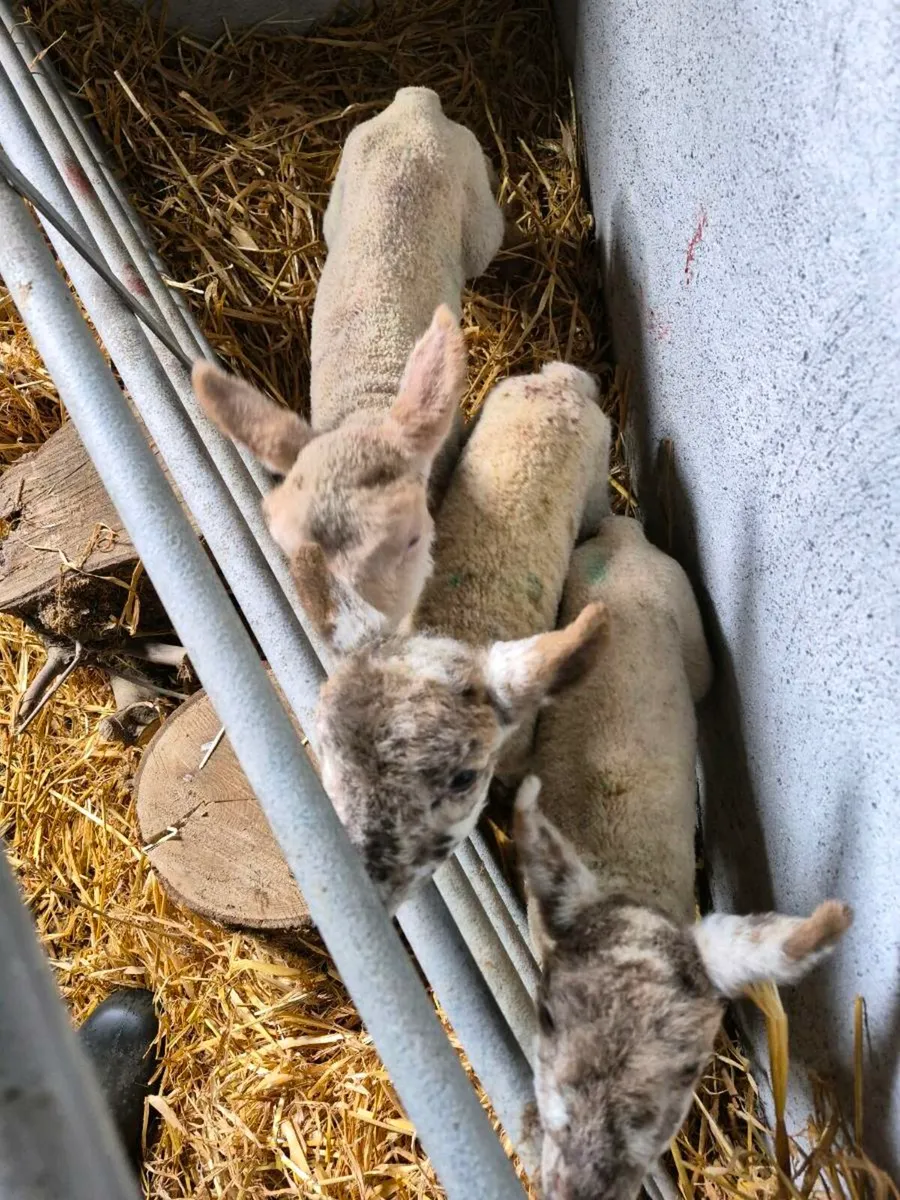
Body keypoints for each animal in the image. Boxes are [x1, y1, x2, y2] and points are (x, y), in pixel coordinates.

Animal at [192, 87, 505, 648]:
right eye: (283, 541)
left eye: (412, 539)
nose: (356, 642)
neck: (370, 405)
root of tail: (416, 103)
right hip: (339, 195)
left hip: (477, 213)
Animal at [314, 361, 613, 911]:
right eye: (323, 753)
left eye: (463, 778)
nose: (358, 896)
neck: (456, 625)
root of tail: (559, 377)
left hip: (600, 476)